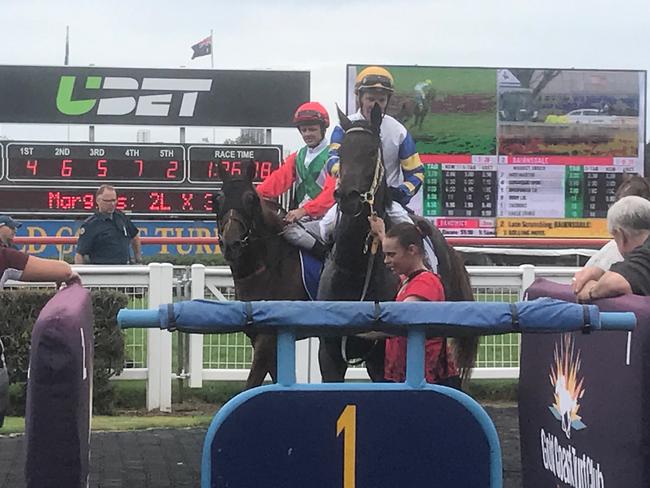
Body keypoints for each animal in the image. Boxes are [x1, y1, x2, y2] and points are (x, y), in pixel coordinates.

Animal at [211, 160, 306, 388]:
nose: (231, 244)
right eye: (217, 199)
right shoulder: (258, 336)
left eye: (251, 198)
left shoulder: (267, 338)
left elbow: (252, 383)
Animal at [318, 103, 476, 384]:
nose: (347, 197)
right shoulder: (330, 354)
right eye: (341, 151)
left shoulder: (381, 360)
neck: (356, 270)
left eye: (372, 152)